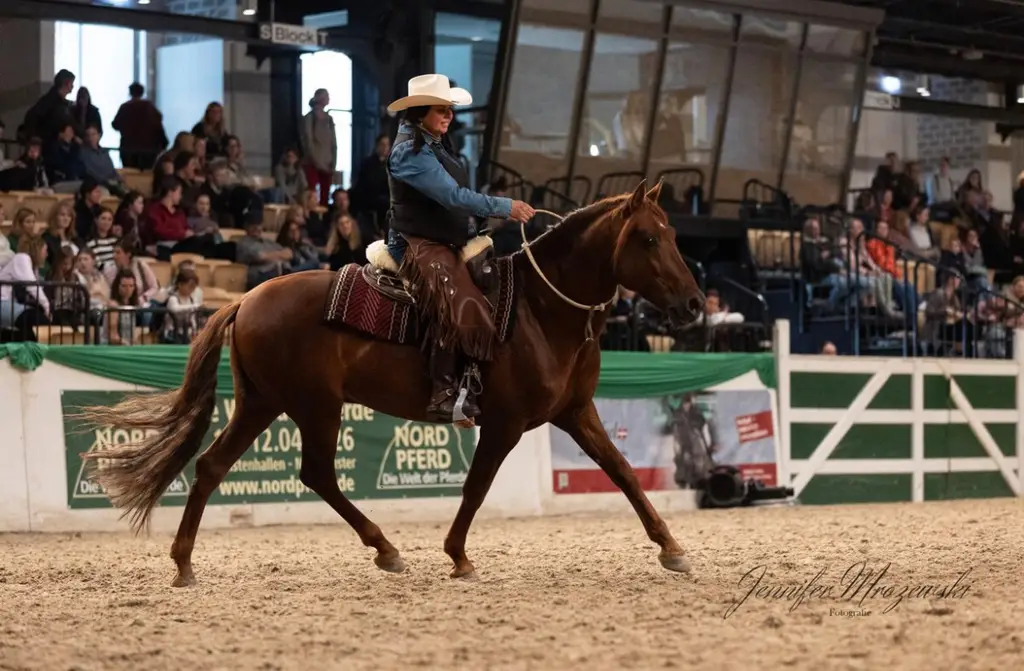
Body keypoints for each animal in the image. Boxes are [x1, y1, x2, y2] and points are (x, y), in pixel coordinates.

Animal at [79, 179, 706, 586]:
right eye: (649, 239)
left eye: (674, 235)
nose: (696, 304)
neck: (539, 309)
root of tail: (245, 298)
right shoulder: (504, 424)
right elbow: (476, 487)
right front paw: (457, 556)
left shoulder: (576, 413)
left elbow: (622, 472)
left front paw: (672, 548)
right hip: (316, 406)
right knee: (316, 474)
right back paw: (385, 549)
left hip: (262, 404)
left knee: (211, 466)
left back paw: (185, 563)